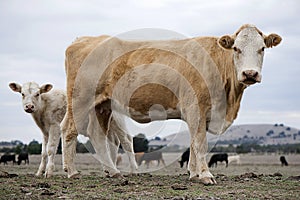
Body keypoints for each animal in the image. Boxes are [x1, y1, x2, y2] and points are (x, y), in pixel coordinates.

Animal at [61, 23, 282, 184]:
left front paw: (194, 174)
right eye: (236, 48)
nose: (250, 73)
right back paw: (72, 172)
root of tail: (82, 40)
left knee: (98, 136)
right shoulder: (195, 108)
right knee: (69, 129)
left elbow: (193, 144)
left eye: (262, 48)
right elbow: (200, 143)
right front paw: (205, 175)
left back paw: (114, 171)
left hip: (103, 105)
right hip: (79, 100)